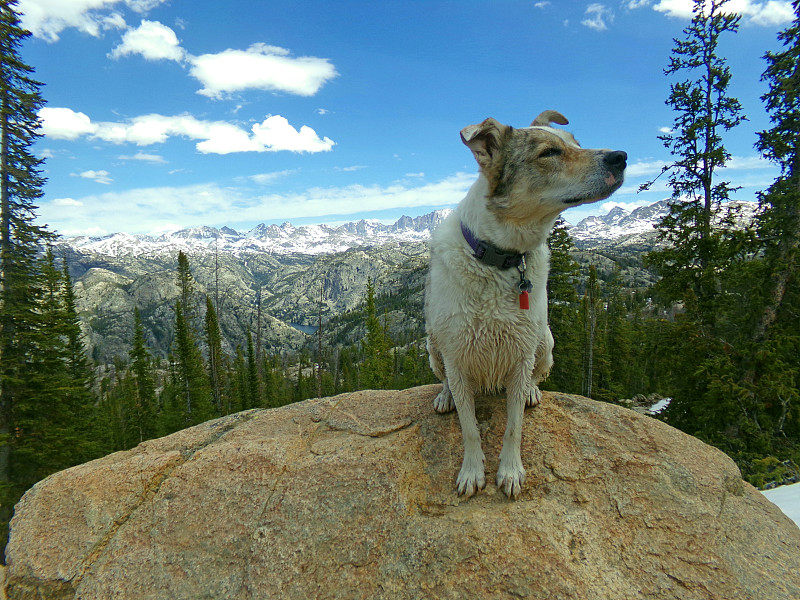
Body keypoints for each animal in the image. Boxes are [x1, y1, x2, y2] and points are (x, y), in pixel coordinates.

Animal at [424, 110, 624, 500]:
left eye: (577, 143)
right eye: (549, 152)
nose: (621, 157)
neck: (501, 258)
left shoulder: (519, 352)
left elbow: (514, 425)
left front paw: (510, 471)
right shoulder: (456, 354)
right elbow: (469, 427)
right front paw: (472, 471)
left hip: (545, 339)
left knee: (536, 373)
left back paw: (532, 390)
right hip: (431, 344)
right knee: (448, 383)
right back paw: (445, 397)